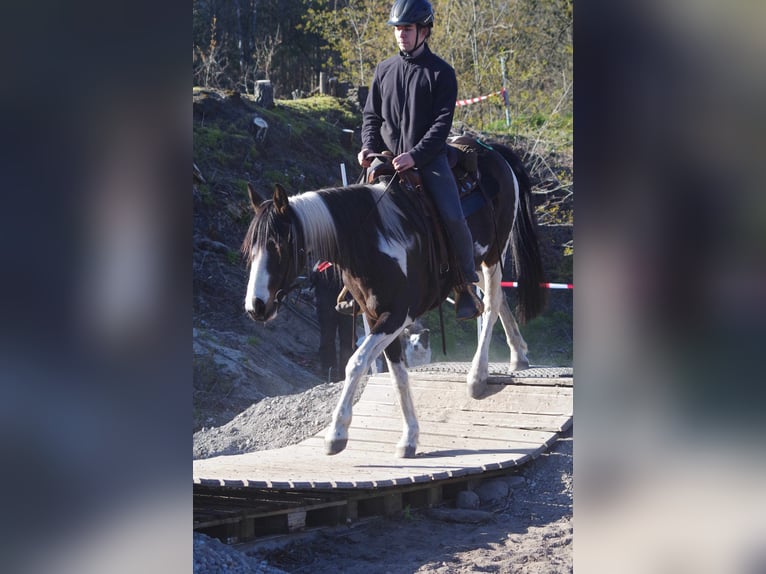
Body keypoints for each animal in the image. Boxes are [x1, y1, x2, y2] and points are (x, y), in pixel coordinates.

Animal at [242, 136, 544, 460]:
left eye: (278, 245)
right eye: (250, 249)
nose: (256, 306)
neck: (369, 240)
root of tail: (490, 150)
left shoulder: (397, 315)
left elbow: (356, 362)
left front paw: (337, 433)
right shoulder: (376, 315)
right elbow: (398, 374)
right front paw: (409, 437)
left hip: (493, 255)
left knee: (490, 305)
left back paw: (478, 375)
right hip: (477, 263)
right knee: (499, 299)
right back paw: (518, 354)